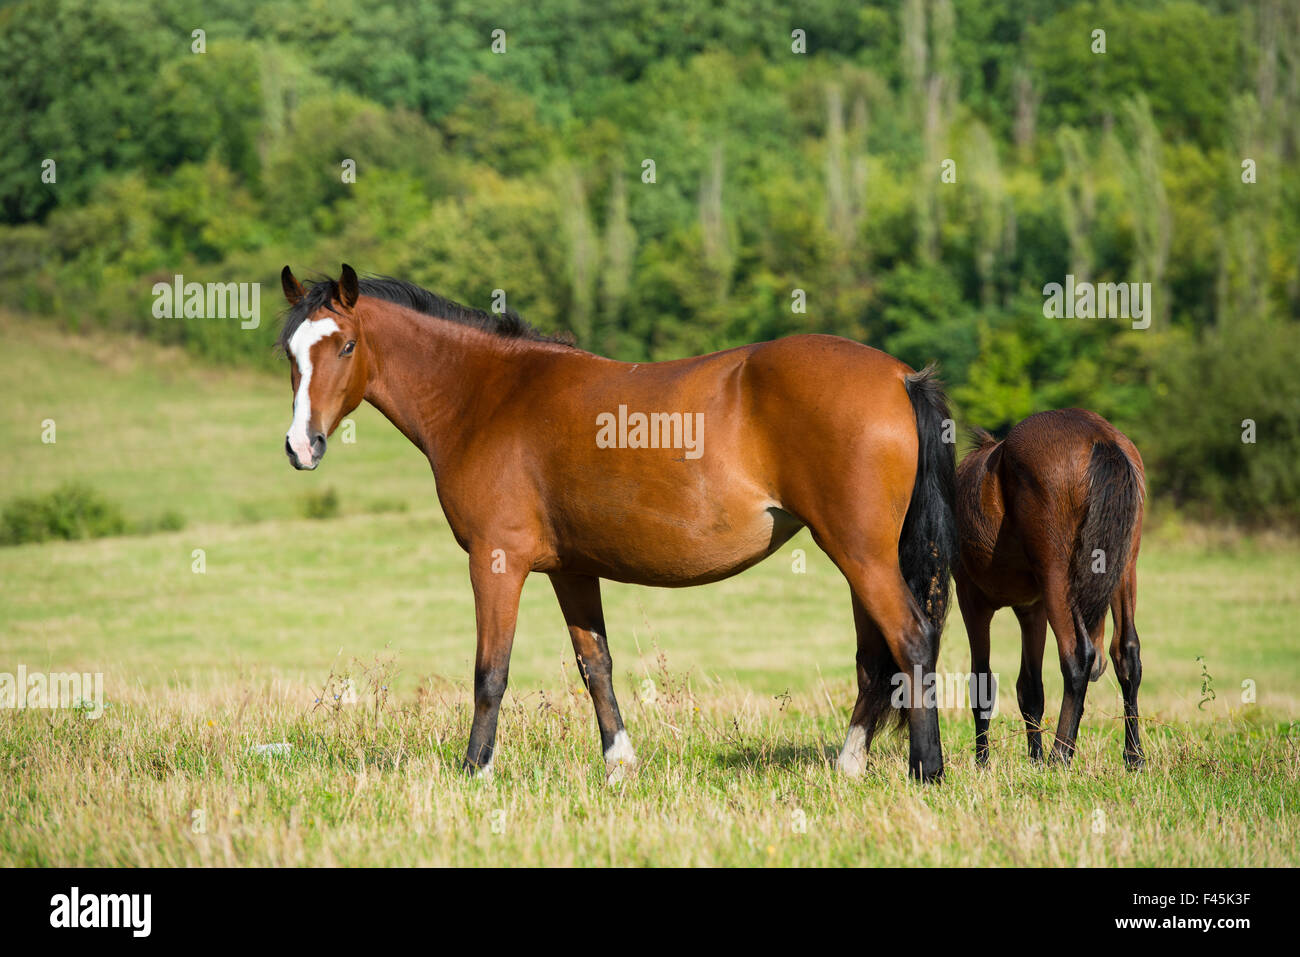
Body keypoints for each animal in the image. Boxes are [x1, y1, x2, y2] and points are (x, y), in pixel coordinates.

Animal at [276, 261, 956, 780]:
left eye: (346, 345)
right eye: (291, 353)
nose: (301, 446)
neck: (490, 396)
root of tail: (899, 376)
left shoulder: (497, 560)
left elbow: (490, 671)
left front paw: (476, 770)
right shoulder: (572, 570)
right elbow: (595, 665)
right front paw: (619, 764)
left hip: (859, 553)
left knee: (911, 638)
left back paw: (927, 770)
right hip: (863, 556)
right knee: (875, 658)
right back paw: (850, 765)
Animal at [956, 410, 1149, 769]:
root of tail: (1100, 437)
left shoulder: (972, 601)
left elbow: (982, 683)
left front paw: (983, 761)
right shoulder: (1032, 608)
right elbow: (1030, 689)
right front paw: (1033, 758)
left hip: (1057, 575)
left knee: (1077, 653)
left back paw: (1061, 754)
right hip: (1123, 568)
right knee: (1127, 653)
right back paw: (1134, 756)